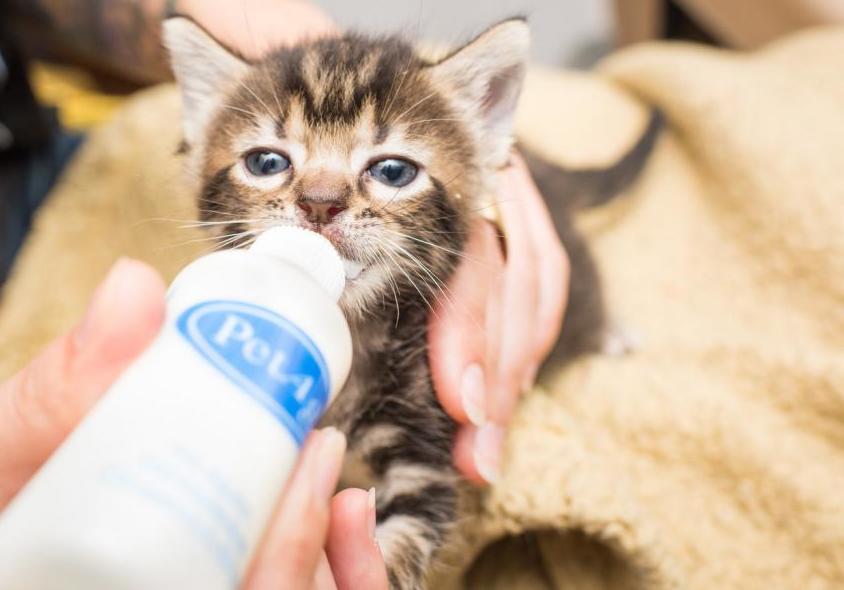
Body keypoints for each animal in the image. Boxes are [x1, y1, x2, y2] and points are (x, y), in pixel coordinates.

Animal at [160, 16, 660, 588]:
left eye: (393, 172)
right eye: (266, 162)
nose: (319, 204)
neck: (351, 324)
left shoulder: (425, 452)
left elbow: (400, 542)